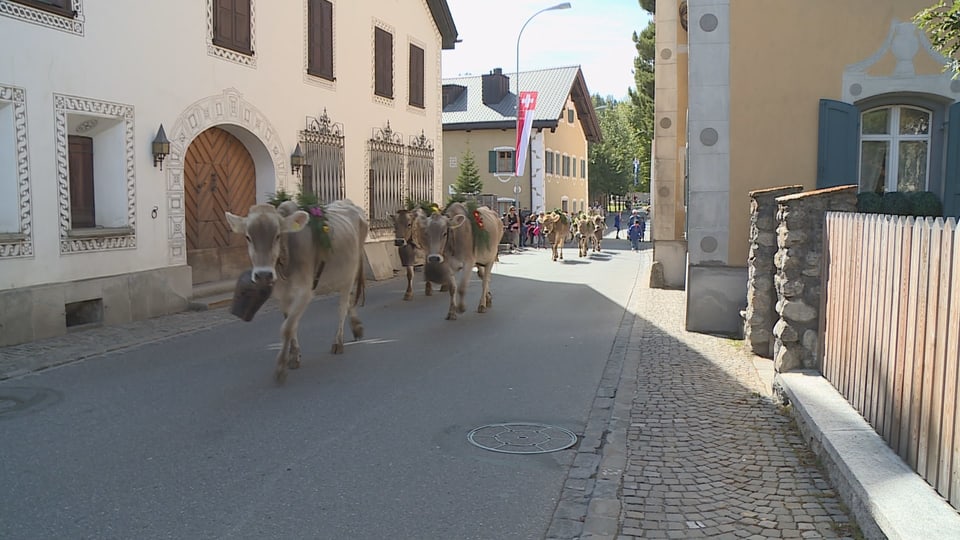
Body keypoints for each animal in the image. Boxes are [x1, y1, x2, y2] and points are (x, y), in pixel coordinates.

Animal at [227, 199, 370, 384]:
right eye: (248, 237)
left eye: (277, 236)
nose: (263, 275)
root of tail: (347, 202)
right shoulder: (282, 296)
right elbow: (291, 325)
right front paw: (294, 356)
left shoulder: (305, 293)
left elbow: (287, 328)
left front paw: (281, 367)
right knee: (349, 302)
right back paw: (356, 328)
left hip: (350, 273)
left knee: (342, 307)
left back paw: (338, 342)